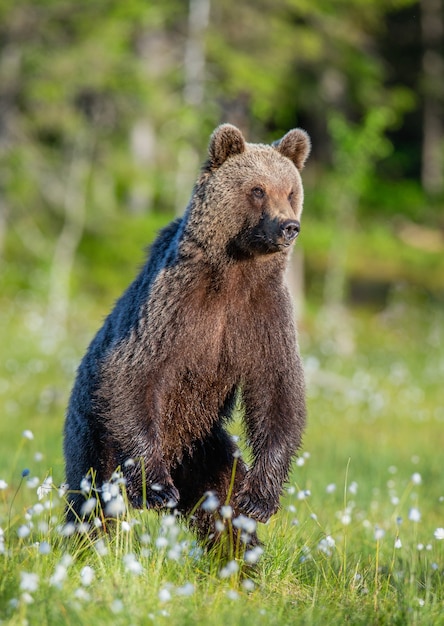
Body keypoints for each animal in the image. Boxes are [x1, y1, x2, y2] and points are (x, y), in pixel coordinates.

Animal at [64, 124, 310, 544]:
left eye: (290, 191)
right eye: (257, 189)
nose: (288, 226)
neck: (233, 274)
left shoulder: (263, 315)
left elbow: (277, 390)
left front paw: (260, 498)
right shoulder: (173, 307)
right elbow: (135, 373)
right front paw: (157, 488)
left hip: (205, 448)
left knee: (222, 504)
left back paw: (239, 551)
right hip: (95, 436)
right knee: (92, 503)